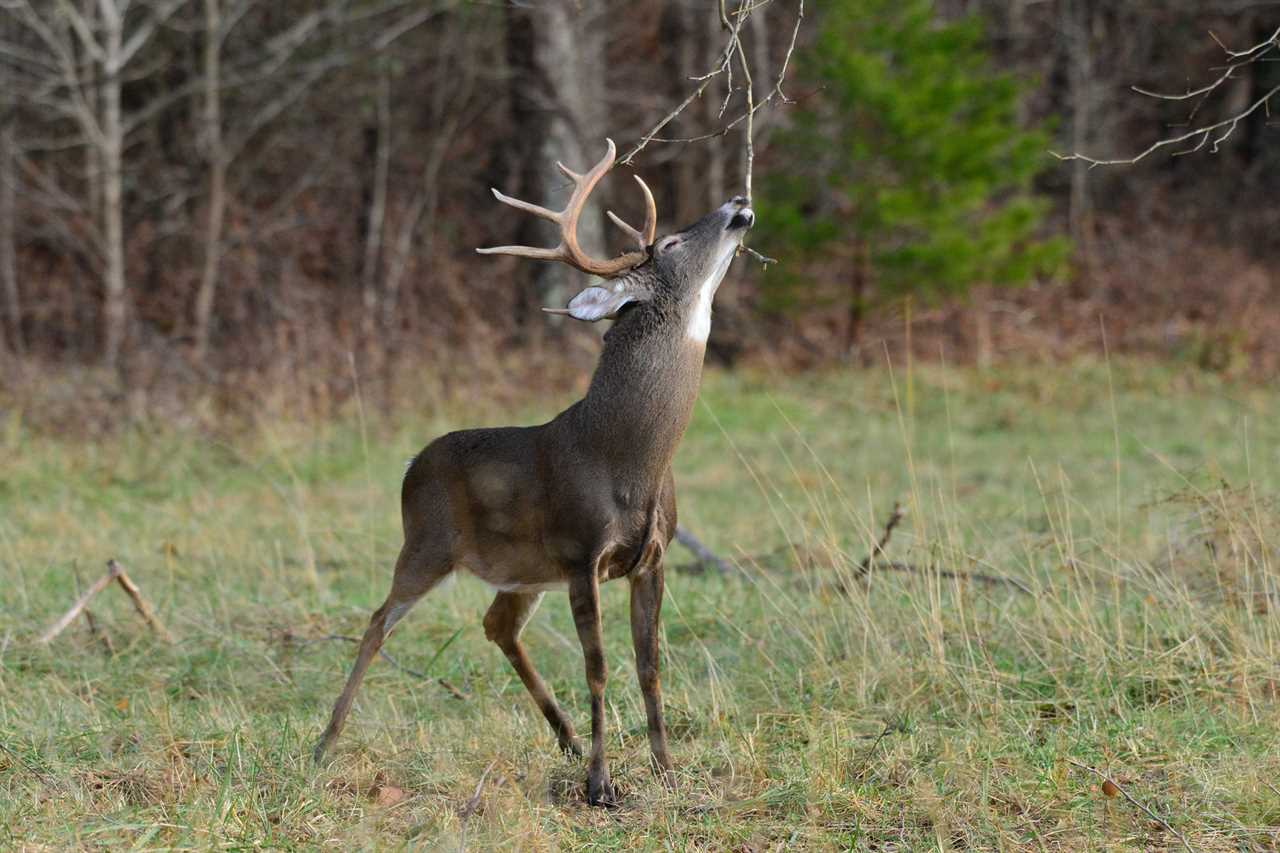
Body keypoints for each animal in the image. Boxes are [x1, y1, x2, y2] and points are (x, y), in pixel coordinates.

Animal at [313, 139, 747, 804]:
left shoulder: (652, 556)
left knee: (496, 624)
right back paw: (325, 744)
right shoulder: (580, 552)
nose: (738, 203)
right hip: (428, 544)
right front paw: (600, 783)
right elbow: (598, 667)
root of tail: (411, 464)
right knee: (378, 621)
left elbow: (650, 665)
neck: (629, 459)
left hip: (523, 571)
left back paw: (564, 737)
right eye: (673, 242)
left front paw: (665, 769)